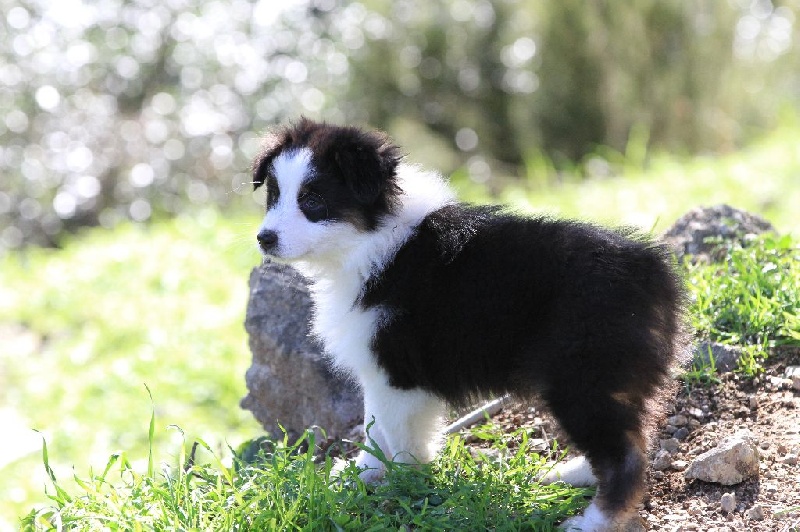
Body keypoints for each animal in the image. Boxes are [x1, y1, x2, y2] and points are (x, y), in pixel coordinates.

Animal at [253, 118, 687, 531]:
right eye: (273, 196)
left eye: (312, 200)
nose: (264, 238)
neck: (368, 241)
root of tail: (653, 269)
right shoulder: (379, 369)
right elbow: (374, 426)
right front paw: (362, 474)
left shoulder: (396, 371)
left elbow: (397, 435)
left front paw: (401, 485)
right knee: (633, 436)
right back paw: (578, 474)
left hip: (582, 376)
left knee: (622, 455)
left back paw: (593, 521)